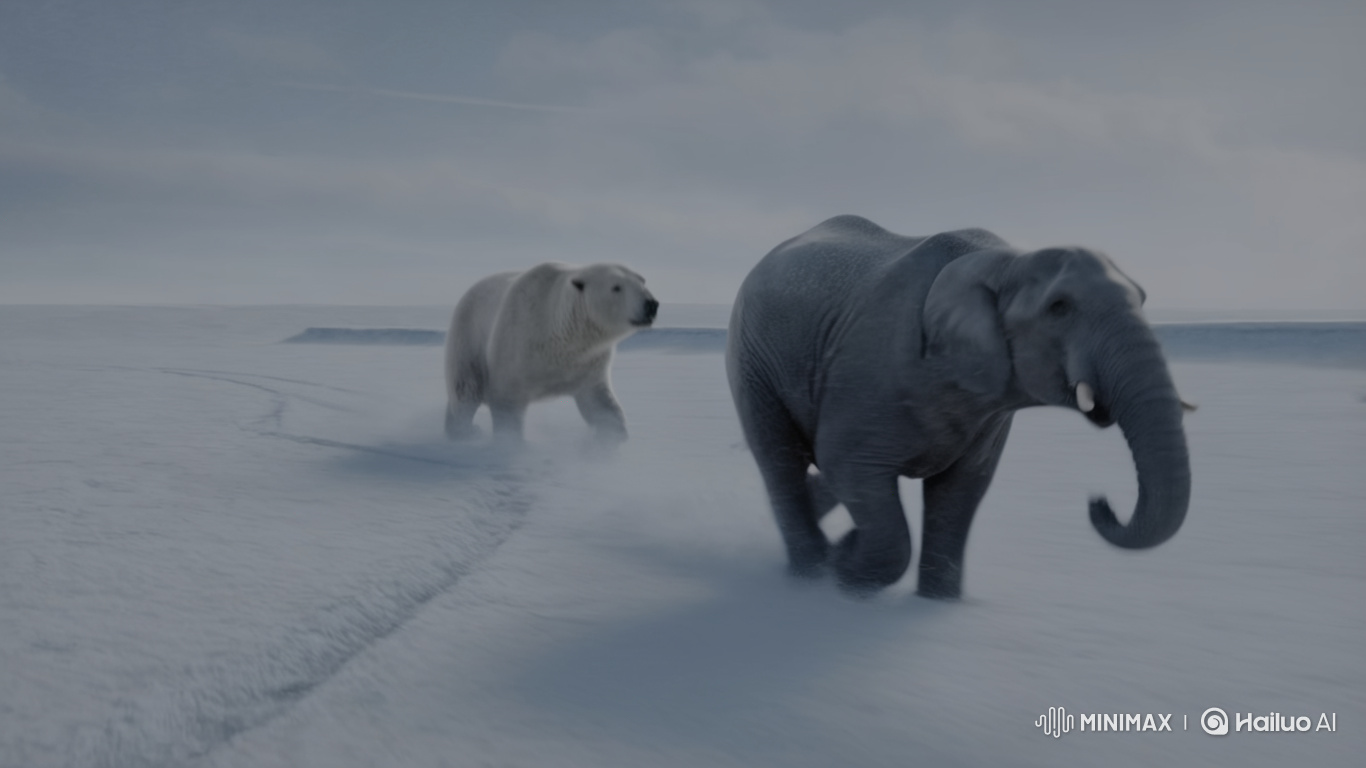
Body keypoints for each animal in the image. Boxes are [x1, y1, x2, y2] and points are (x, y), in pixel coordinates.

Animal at [444, 262, 658, 442]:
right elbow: (507, 403)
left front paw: (615, 436)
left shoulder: (587, 362)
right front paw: (510, 442)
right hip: (467, 339)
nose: (651, 304)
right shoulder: (516, 346)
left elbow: (600, 404)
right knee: (465, 390)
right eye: (616, 287)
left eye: (642, 281)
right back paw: (465, 431)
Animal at [725, 215, 1192, 598]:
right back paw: (810, 574)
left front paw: (936, 602)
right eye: (1059, 308)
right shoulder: (866, 372)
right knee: (780, 461)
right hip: (752, 362)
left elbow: (963, 490)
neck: (1003, 262)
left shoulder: (989, 411)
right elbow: (849, 467)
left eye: (1143, 298)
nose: (1099, 503)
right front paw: (846, 564)